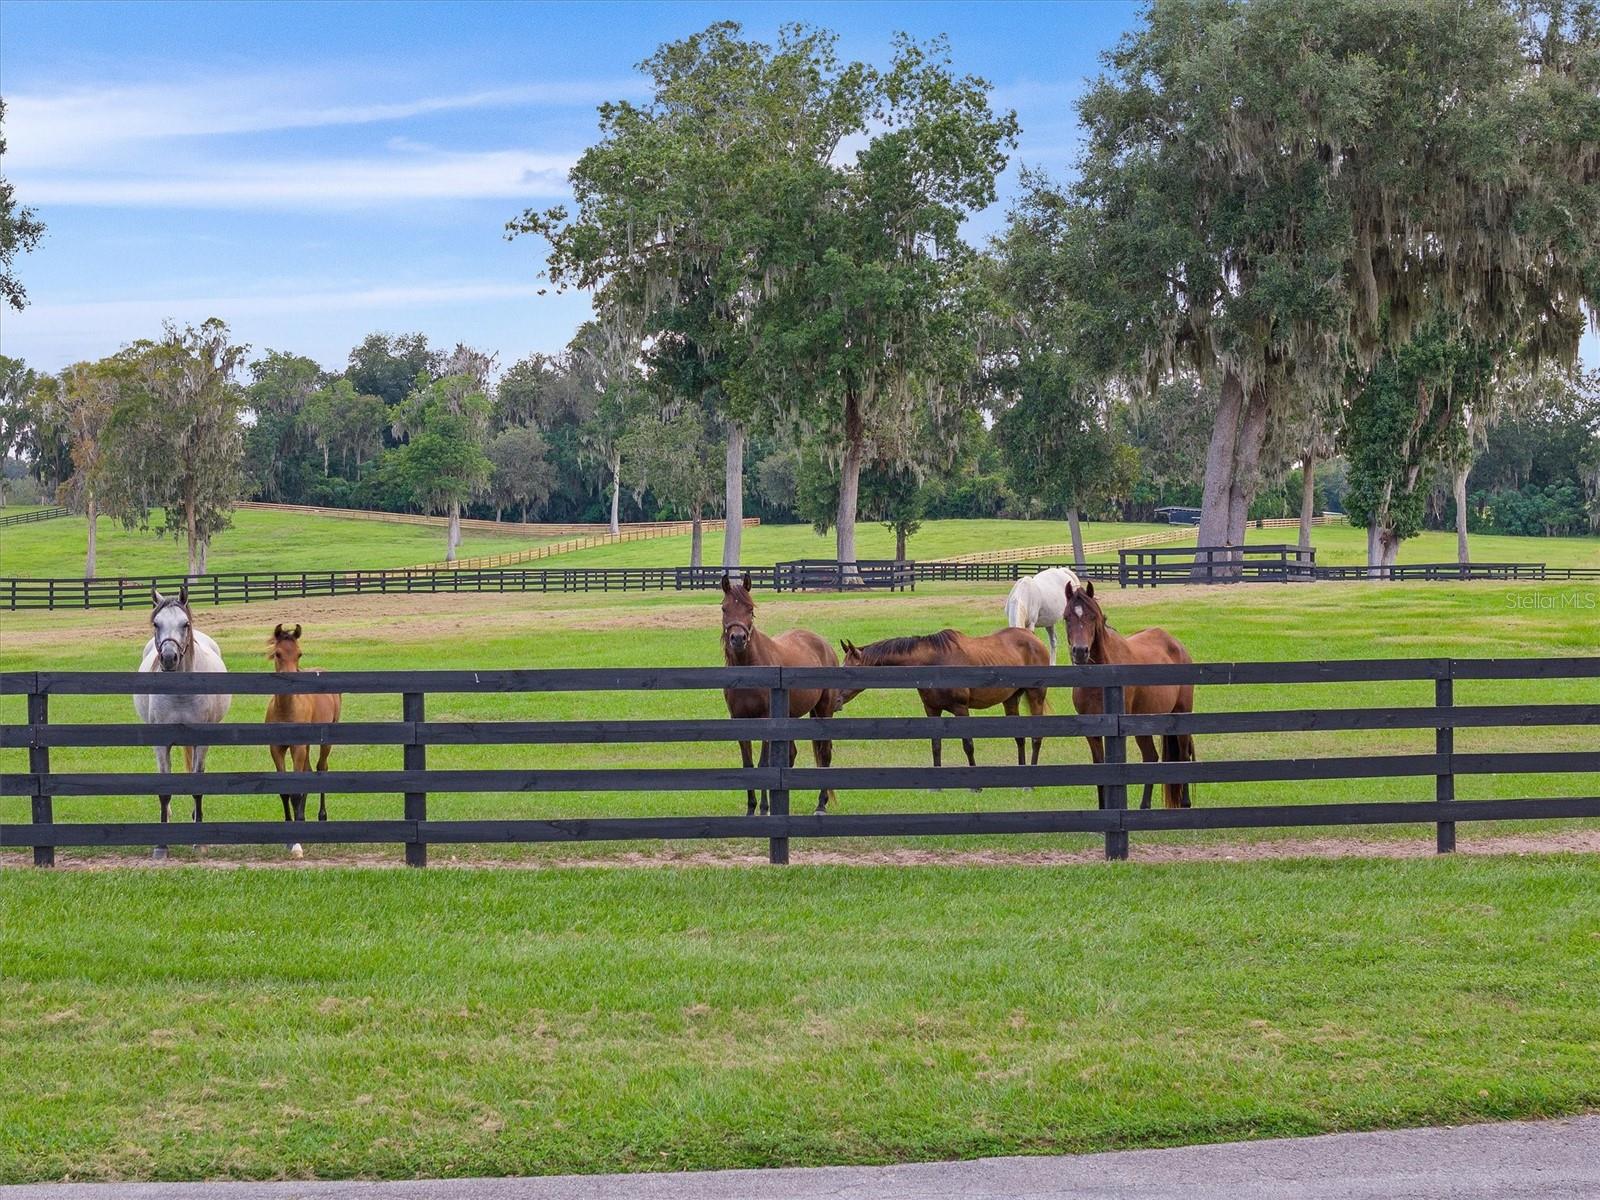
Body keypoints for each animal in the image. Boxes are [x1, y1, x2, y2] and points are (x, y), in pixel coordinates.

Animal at [135, 588, 230, 857]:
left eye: (184, 624)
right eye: (156, 623)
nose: (169, 658)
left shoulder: (201, 742)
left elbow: (196, 783)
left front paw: (199, 841)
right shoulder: (160, 744)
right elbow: (164, 788)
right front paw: (161, 845)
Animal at [264, 620, 342, 857]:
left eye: (299, 654)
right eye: (278, 653)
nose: (292, 683)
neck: (286, 710)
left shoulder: (297, 747)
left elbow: (296, 791)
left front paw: (297, 844)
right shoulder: (277, 748)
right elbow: (285, 792)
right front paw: (288, 838)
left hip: (325, 742)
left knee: (321, 768)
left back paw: (321, 818)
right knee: (308, 771)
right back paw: (303, 818)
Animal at [716, 572, 838, 819]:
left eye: (750, 608)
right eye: (724, 608)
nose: (738, 639)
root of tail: (823, 643)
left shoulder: (766, 720)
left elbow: (764, 765)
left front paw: (764, 809)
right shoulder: (739, 721)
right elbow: (748, 765)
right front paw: (751, 810)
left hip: (824, 710)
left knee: (825, 753)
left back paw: (821, 805)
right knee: (792, 754)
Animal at [838, 630, 1049, 771]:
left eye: (850, 670)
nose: (836, 699)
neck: (934, 662)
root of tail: (1034, 638)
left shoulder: (961, 709)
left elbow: (968, 745)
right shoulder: (932, 710)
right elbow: (936, 745)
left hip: (1036, 695)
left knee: (1036, 737)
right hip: (1011, 699)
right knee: (1020, 738)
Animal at [1056, 579, 1196, 812]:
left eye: (1092, 617)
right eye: (1067, 617)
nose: (1080, 651)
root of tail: (1176, 644)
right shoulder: (1092, 731)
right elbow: (1099, 767)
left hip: (1181, 715)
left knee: (1183, 755)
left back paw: (1184, 803)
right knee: (1151, 757)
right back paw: (1144, 806)